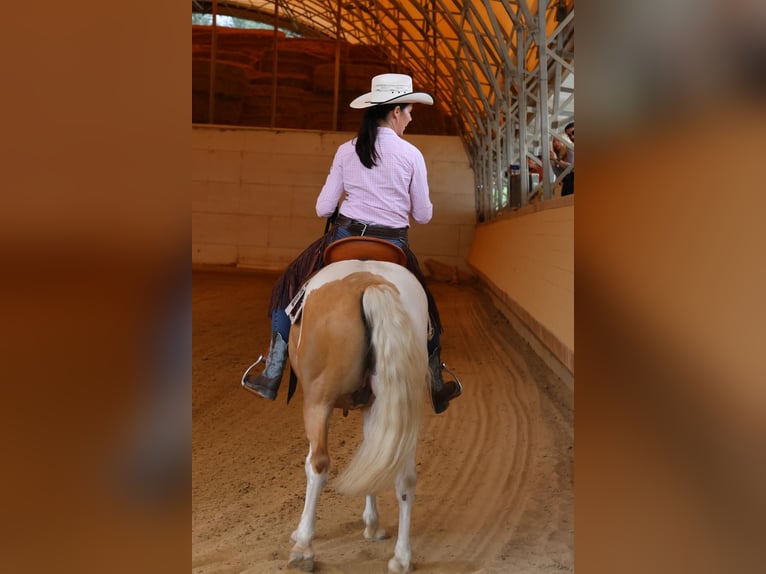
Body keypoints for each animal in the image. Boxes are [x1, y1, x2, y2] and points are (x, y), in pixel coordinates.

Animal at [286, 258, 436, 572]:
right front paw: (373, 525)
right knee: (404, 475)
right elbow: (373, 459)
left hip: (318, 401)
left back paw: (303, 546)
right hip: (399, 405)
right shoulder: (373, 405)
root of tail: (371, 282)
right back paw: (402, 557)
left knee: (318, 464)